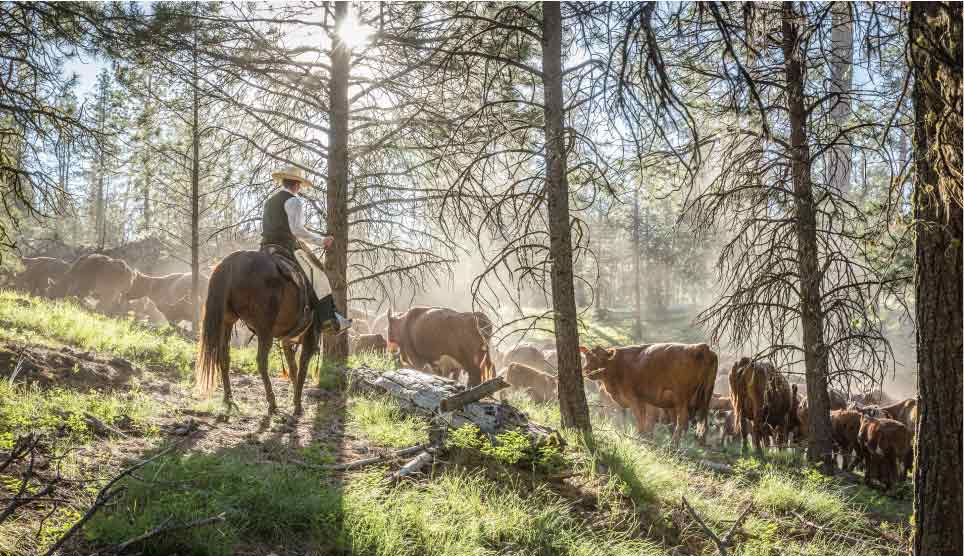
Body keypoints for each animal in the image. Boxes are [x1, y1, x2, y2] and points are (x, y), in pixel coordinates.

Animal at [196, 250, 320, 414]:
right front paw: (298, 405)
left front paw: (296, 400)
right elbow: (302, 370)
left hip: (227, 322)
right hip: (264, 330)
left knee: (224, 357)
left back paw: (228, 398)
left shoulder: (287, 341)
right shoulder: (308, 341)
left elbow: (293, 368)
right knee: (262, 362)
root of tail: (233, 262)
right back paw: (272, 403)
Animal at [580, 340, 716, 446]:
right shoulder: (644, 401)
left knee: (682, 421)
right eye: (587, 357)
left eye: (600, 358)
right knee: (703, 424)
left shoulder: (634, 398)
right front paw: (644, 436)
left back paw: (673, 444)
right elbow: (641, 420)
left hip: (682, 398)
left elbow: (640, 419)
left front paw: (640, 437)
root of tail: (701, 347)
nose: (586, 370)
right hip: (705, 397)